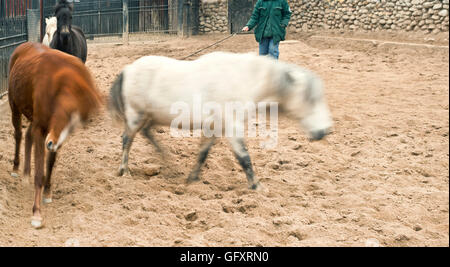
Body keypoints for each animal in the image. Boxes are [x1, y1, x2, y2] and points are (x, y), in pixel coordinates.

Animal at [8, 43, 101, 229]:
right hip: (14, 106)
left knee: (27, 136)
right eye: (62, 113)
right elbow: (40, 173)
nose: (51, 143)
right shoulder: (41, 129)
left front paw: (47, 192)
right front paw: (36, 214)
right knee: (19, 134)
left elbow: (50, 165)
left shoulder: (52, 135)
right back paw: (16, 168)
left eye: (75, 124)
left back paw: (26, 174)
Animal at [107, 51, 332, 191]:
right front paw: (257, 186)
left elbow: (203, 154)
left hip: (151, 117)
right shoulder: (232, 128)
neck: (243, 79)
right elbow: (244, 158)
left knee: (146, 134)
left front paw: (192, 179)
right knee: (127, 139)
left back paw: (166, 159)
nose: (324, 131)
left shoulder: (213, 128)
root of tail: (128, 70)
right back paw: (125, 170)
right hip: (136, 115)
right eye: (310, 99)